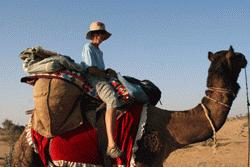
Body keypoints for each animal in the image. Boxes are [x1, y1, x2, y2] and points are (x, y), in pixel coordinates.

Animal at [11, 46, 246, 167]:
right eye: (235, 55)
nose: (245, 57)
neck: (169, 128)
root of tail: (23, 135)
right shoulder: (139, 160)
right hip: (27, 157)